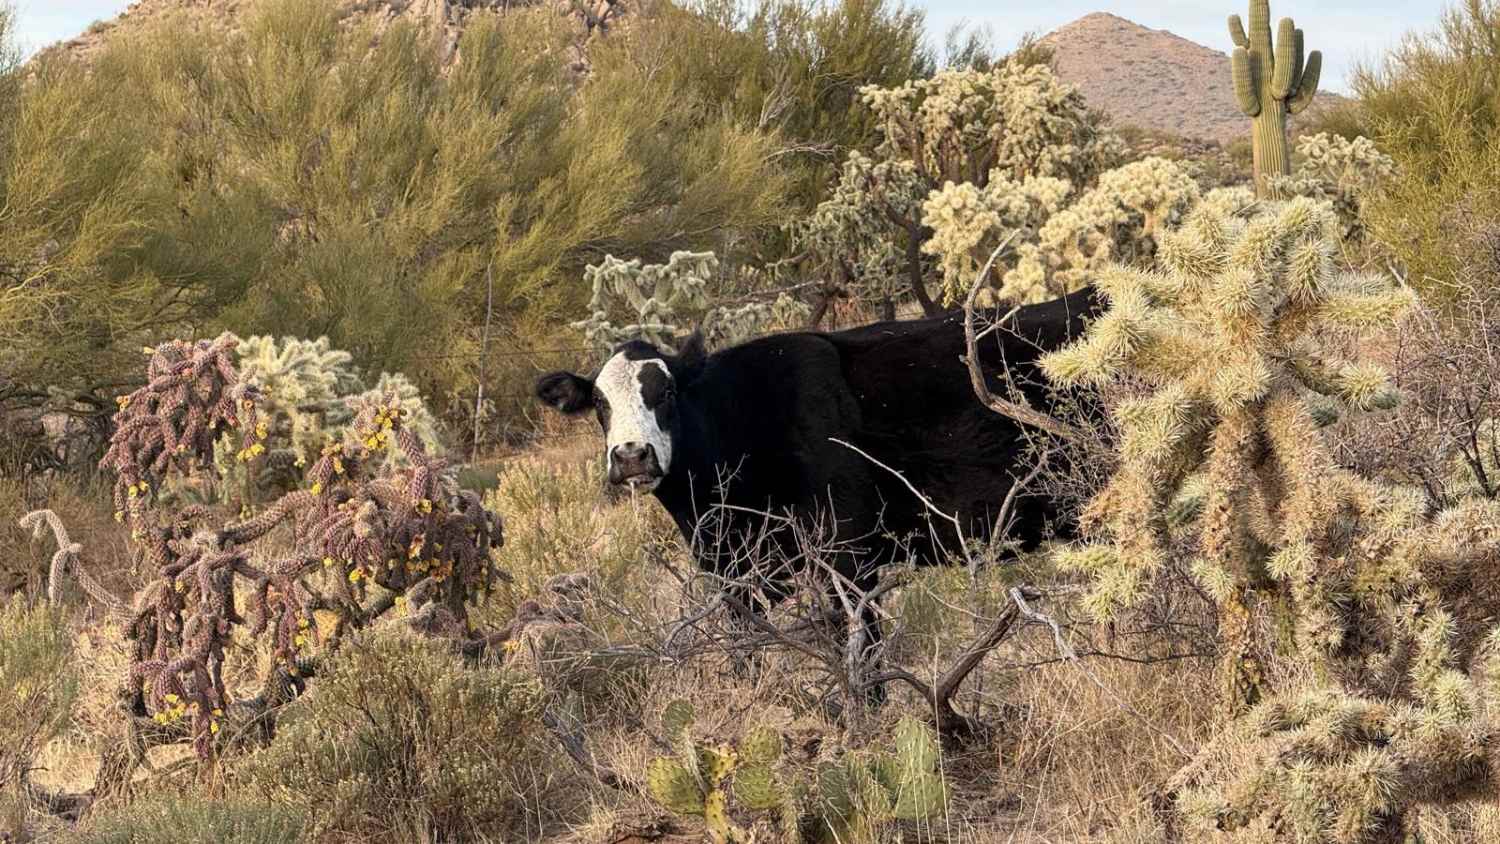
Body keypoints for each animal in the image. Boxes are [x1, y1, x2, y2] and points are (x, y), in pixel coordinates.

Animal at [534, 287, 1099, 692]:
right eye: (600, 403)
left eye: (667, 391)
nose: (631, 455)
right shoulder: (733, 576)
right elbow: (743, 657)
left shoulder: (846, 557)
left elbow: (861, 664)